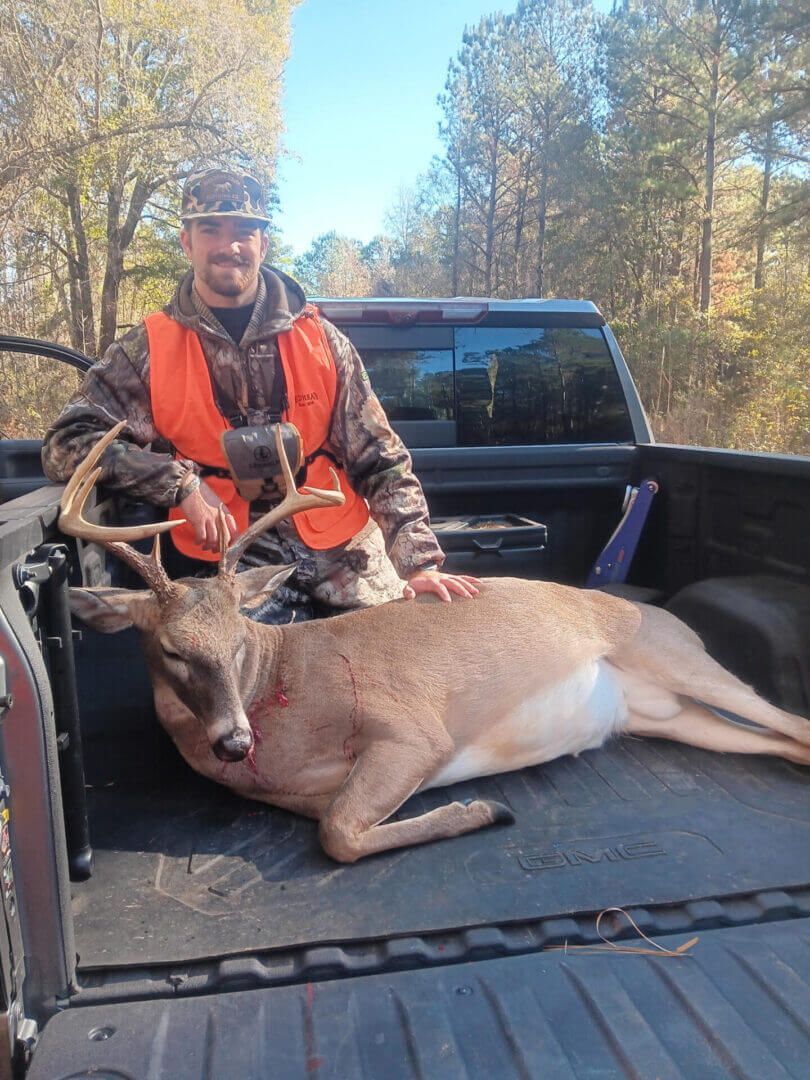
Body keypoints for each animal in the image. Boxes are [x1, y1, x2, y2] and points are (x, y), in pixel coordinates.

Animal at [61, 423, 810, 863]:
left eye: (240, 640)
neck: (285, 692)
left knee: (790, 720)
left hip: (676, 657)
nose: (233, 741)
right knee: (776, 739)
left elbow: (339, 835)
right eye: (171, 650)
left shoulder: (414, 728)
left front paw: (482, 809)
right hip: (667, 716)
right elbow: (337, 826)